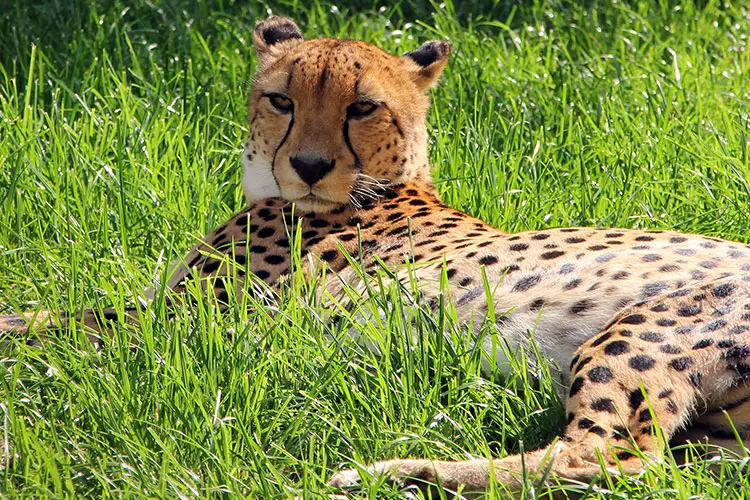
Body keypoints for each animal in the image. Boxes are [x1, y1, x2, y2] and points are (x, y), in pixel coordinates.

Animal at [4, 14, 750, 496]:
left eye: (362, 108)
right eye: (281, 100)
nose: (308, 165)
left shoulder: (201, 322)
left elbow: (52, 322)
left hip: (636, 333)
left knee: (604, 459)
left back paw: (386, 473)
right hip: (716, 435)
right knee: (668, 461)